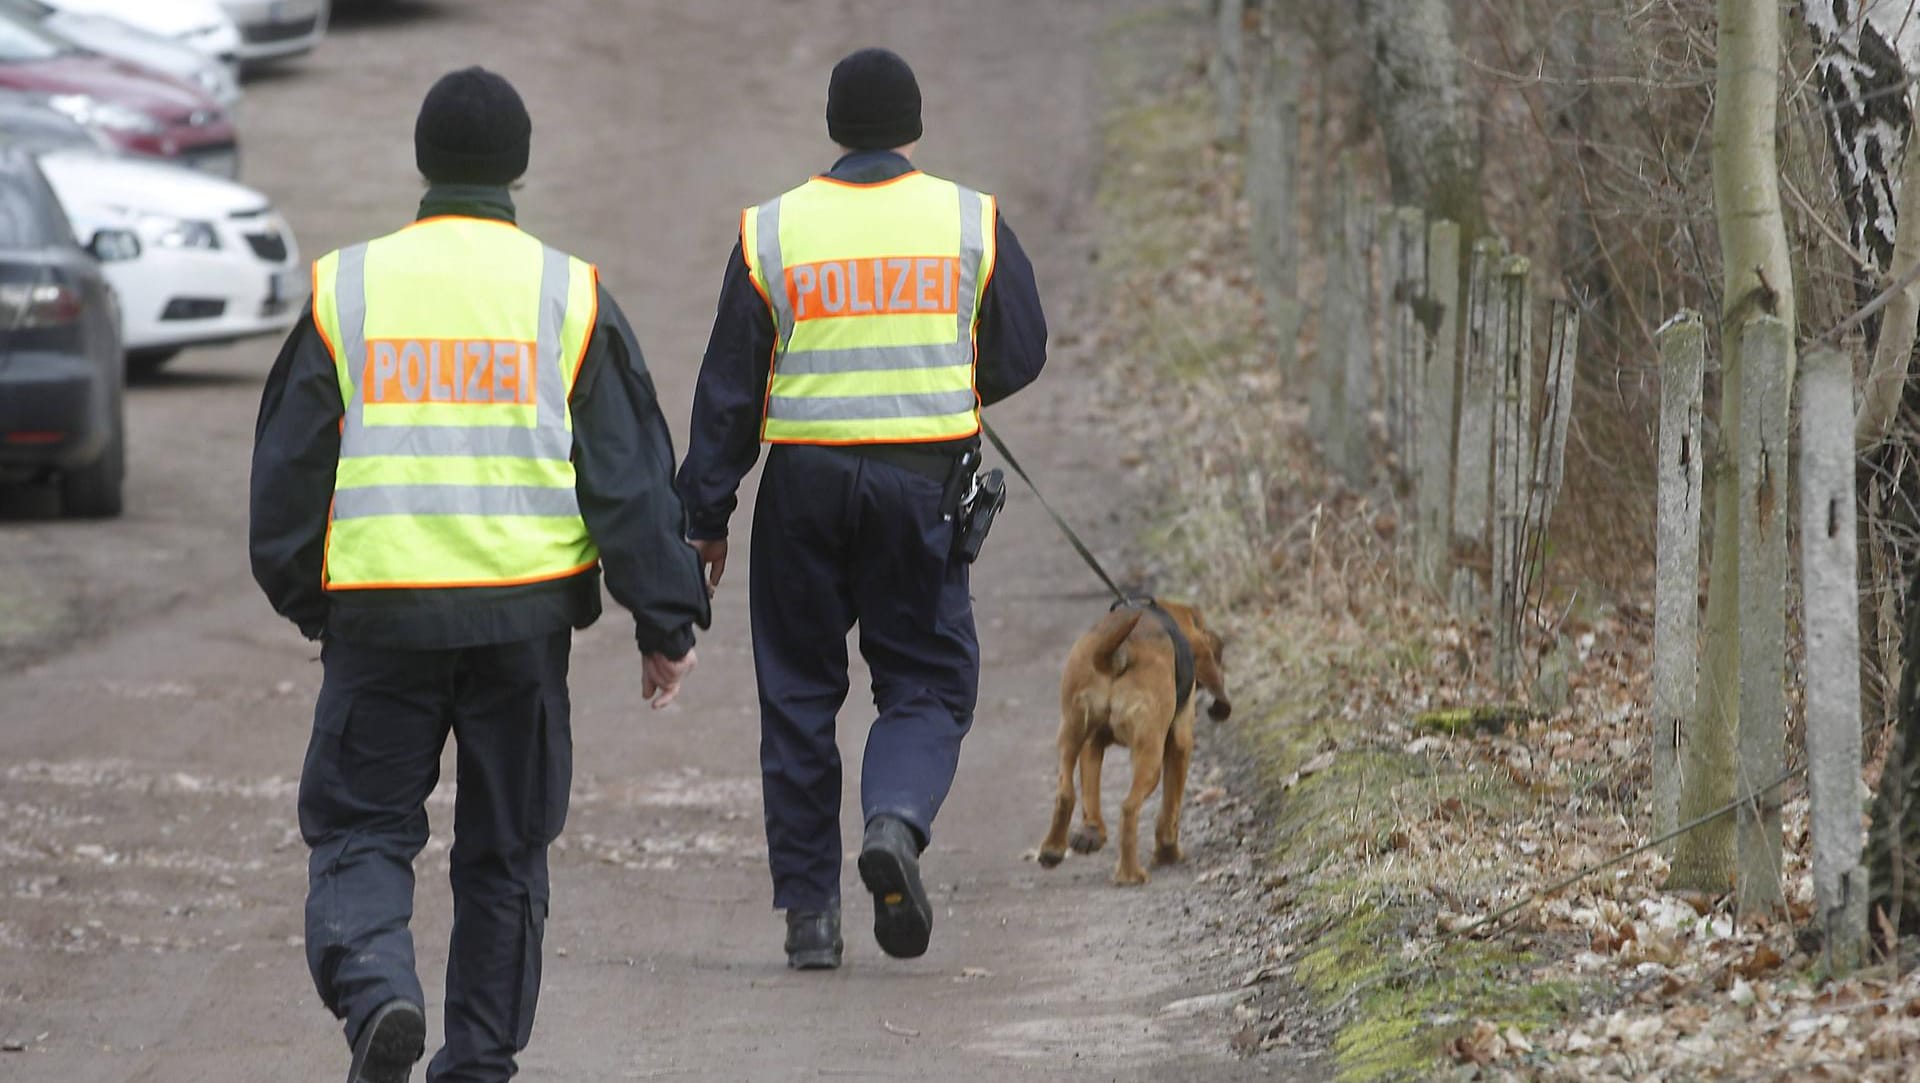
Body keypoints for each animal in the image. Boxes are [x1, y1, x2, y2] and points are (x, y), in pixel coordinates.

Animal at [1036, 599, 1228, 887]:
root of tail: (1120, 653)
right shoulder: (1180, 745)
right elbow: (1170, 809)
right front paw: (1167, 852)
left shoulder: (1092, 743)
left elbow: (1090, 793)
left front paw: (1091, 833)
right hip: (1149, 758)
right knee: (1128, 808)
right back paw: (1130, 874)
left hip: (1071, 733)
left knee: (1065, 792)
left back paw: (1053, 850)